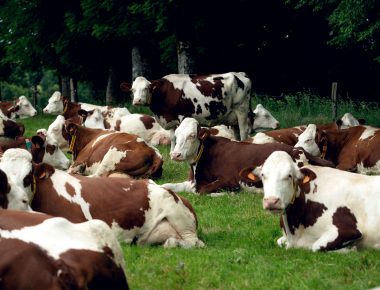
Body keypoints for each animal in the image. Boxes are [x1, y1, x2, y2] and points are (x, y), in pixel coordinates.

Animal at [120, 72, 252, 140]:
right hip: (233, 116)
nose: (137, 101)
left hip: (242, 109)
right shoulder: (171, 118)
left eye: (146, 88)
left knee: (244, 130)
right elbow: (173, 137)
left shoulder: (182, 116)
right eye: (132, 89)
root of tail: (240, 74)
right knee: (236, 132)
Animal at [162, 117, 334, 195]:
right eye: (176, 135)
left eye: (192, 135)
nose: (175, 154)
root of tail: (299, 150)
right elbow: (166, 186)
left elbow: (202, 191)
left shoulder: (230, 180)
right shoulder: (190, 181)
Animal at [242, 150, 380, 251]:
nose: (271, 201)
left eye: (289, 175)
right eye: (263, 175)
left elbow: (316, 246)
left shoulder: (350, 230)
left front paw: (351, 249)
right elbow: (278, 241)